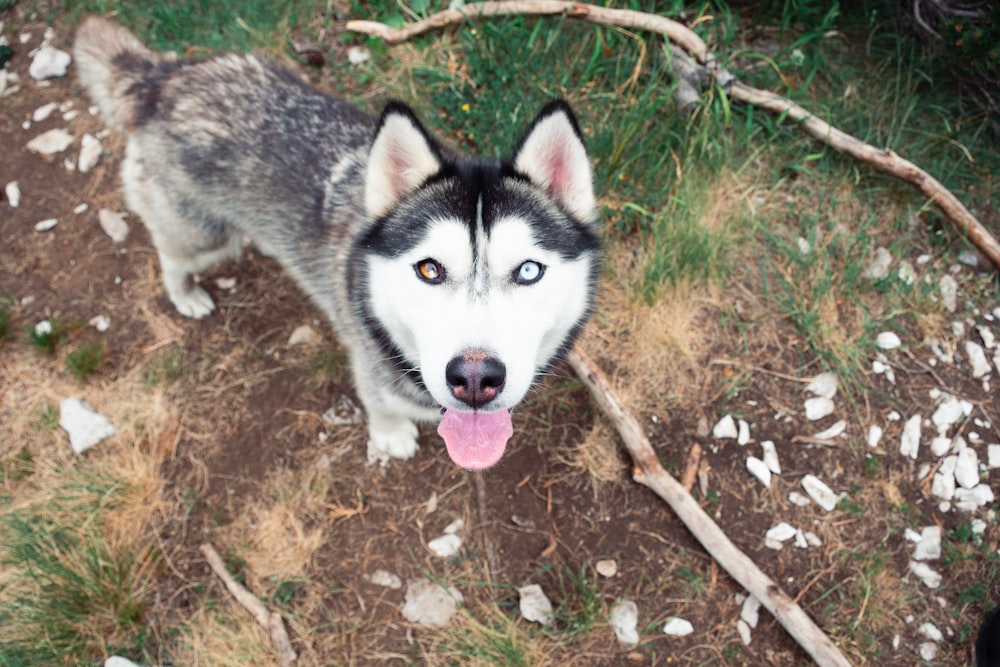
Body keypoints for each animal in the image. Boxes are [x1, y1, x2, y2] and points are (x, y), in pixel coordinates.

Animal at [74, 15, 600, 470]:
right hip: (202, 233)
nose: (475, 379)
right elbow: (377, 400)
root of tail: (164, 77)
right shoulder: (365, 356)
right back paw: (185, 294)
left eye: (528, 270)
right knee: (171, 252)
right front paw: (390, 434)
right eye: (429, 268)